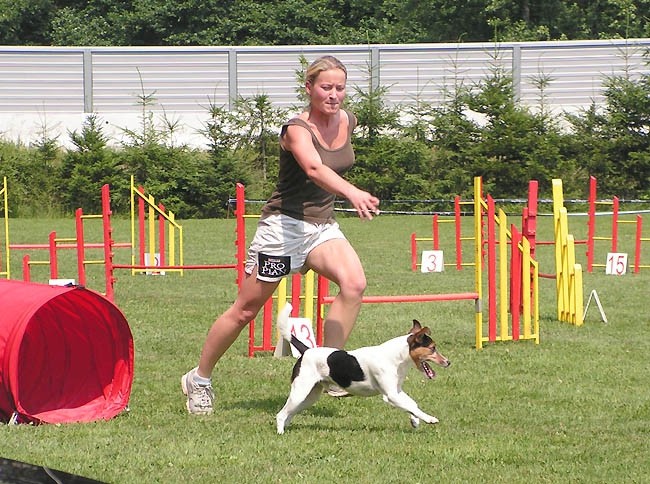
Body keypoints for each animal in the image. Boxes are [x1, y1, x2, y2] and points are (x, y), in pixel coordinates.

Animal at [274, 302, 450, 434]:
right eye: (433, 348)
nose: (448, 362)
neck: (396, 357)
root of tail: (306, 350)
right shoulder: (391, 395)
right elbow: (412, 406)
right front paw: (429, 419)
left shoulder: (397, 392)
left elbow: (412, 404)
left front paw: (415, 420)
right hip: (300, 392)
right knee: (281, 414)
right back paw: (281, 432)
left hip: (310, 396)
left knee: (290, 412)